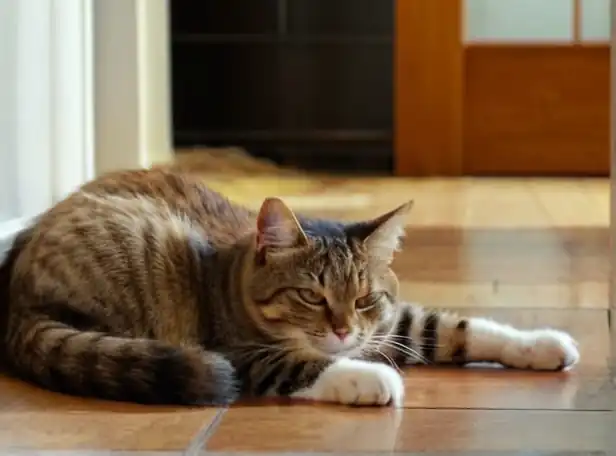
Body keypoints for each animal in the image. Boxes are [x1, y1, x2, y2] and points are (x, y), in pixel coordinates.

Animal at [0, 167, 576, 406]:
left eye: (364, 298)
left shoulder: (390, 322)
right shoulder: (240, 351)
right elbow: (302, 364)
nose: (343, 331)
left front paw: (543, 343)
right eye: (310, 296)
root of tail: (17, 301)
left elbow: (453, 326)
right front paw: (368, 377)